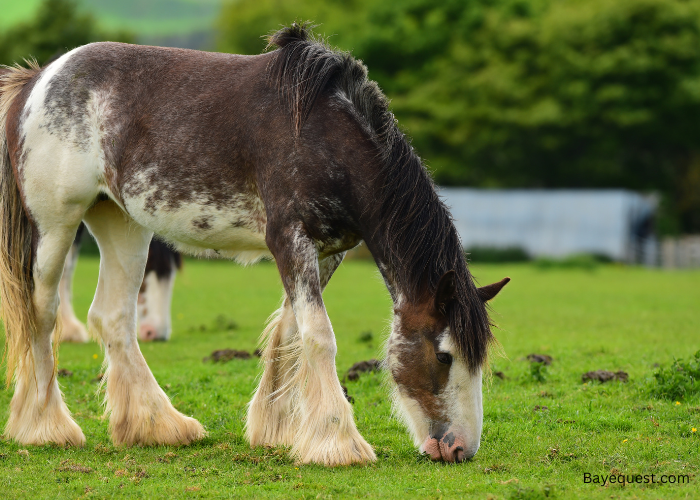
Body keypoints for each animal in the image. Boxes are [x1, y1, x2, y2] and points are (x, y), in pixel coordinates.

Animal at [2, 24, 512, 464]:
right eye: (444, 355)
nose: (460, 448)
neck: (324, 136)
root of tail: (39, 79)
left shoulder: (327, 252)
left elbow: (290, 334)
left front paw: (278, 430)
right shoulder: (289, 239)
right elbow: (318, 336)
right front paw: (337, 443)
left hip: (123, 225)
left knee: (112, 318)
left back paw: (156, 425)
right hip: (57, 227)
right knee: (41, 314)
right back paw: (46, 427)